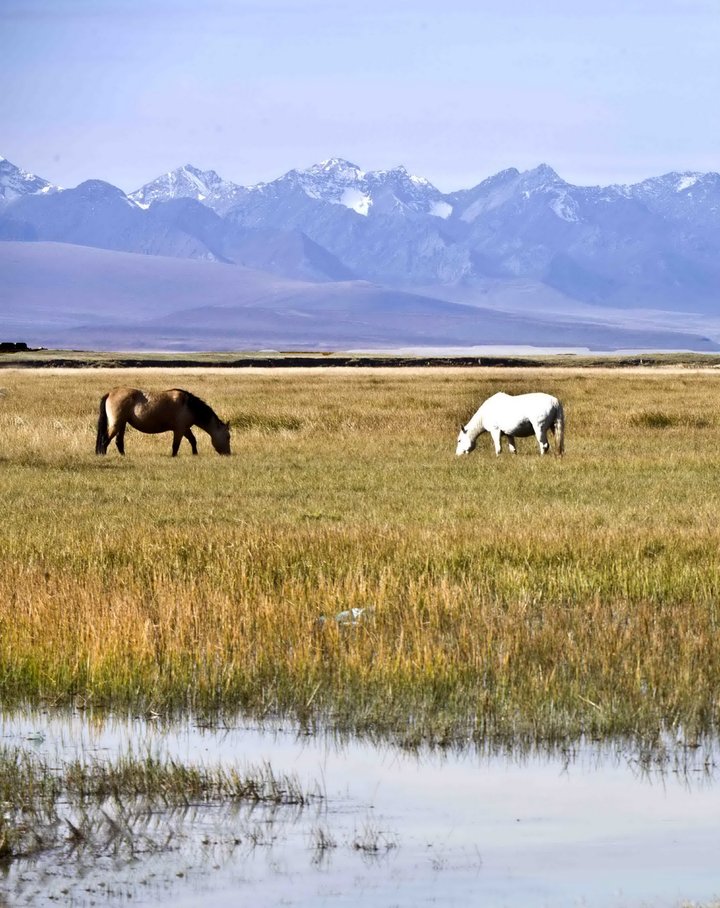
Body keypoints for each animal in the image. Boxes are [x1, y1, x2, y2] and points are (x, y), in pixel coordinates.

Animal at [95, 386, 231, 454]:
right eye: (228, 437)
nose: (228, 454)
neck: (189, 405)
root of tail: (110, 393)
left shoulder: (185, 428)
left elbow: (193, 440)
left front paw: (195, 454)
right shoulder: (179, 430)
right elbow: (175, 445)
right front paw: (174, 457)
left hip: (122, 424)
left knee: (118, 442)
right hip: (116, 424)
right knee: (105, 440)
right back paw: (103, 455)